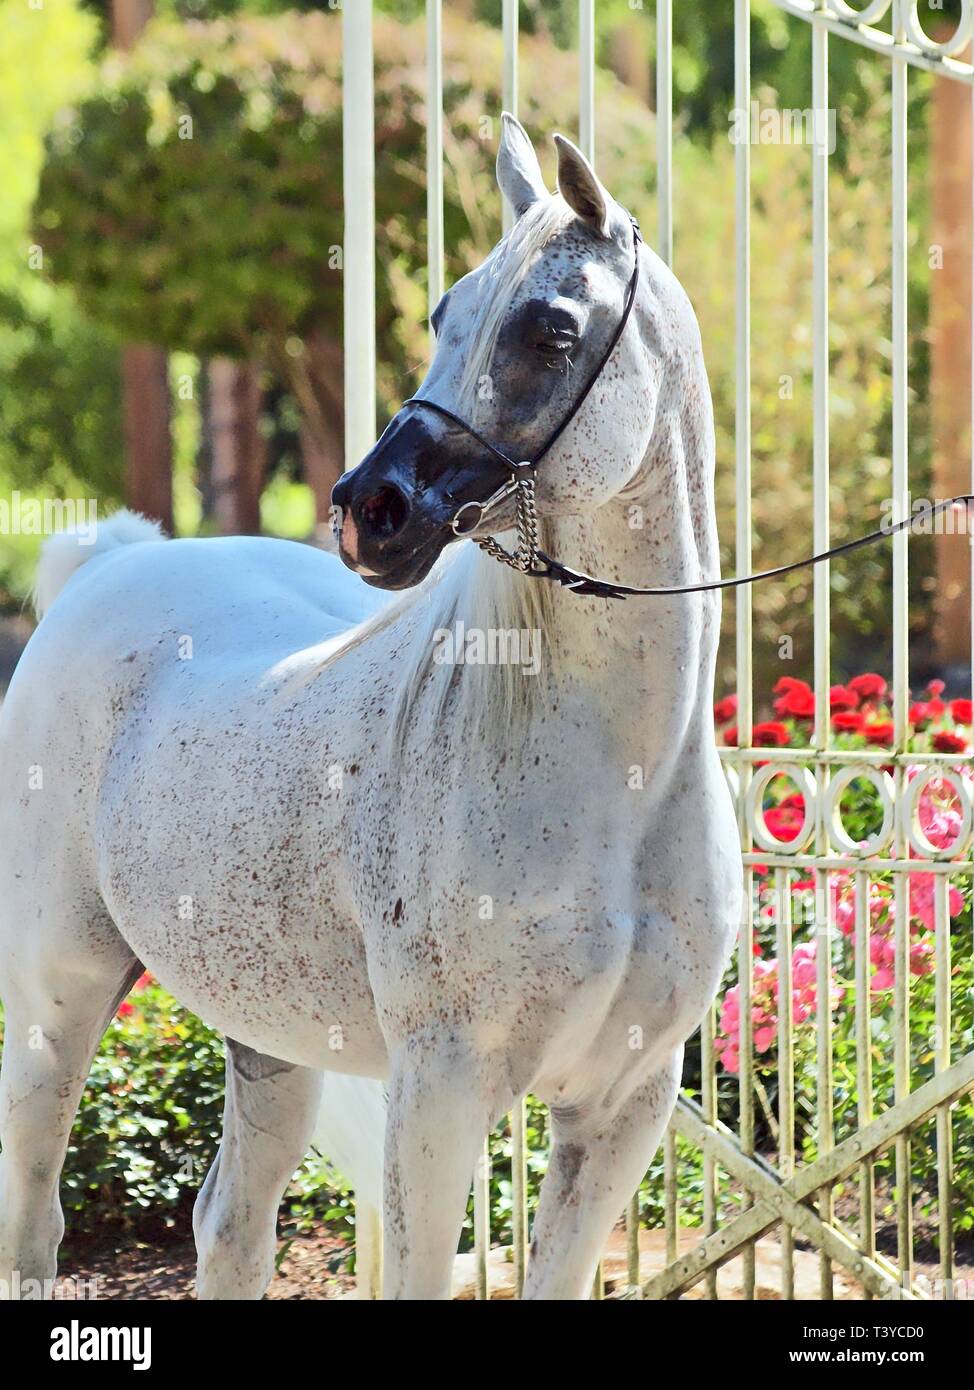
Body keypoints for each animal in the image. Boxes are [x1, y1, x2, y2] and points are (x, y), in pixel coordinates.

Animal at [0, 122, 739, 1301]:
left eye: (550, 329)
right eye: (443, 312)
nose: (369, 509)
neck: (621, 778)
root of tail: (103, 566)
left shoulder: (621, 1106)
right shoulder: (441, 1091)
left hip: (268, 1034)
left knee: (230, 1225)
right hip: (53, 1007)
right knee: (34, 1227)